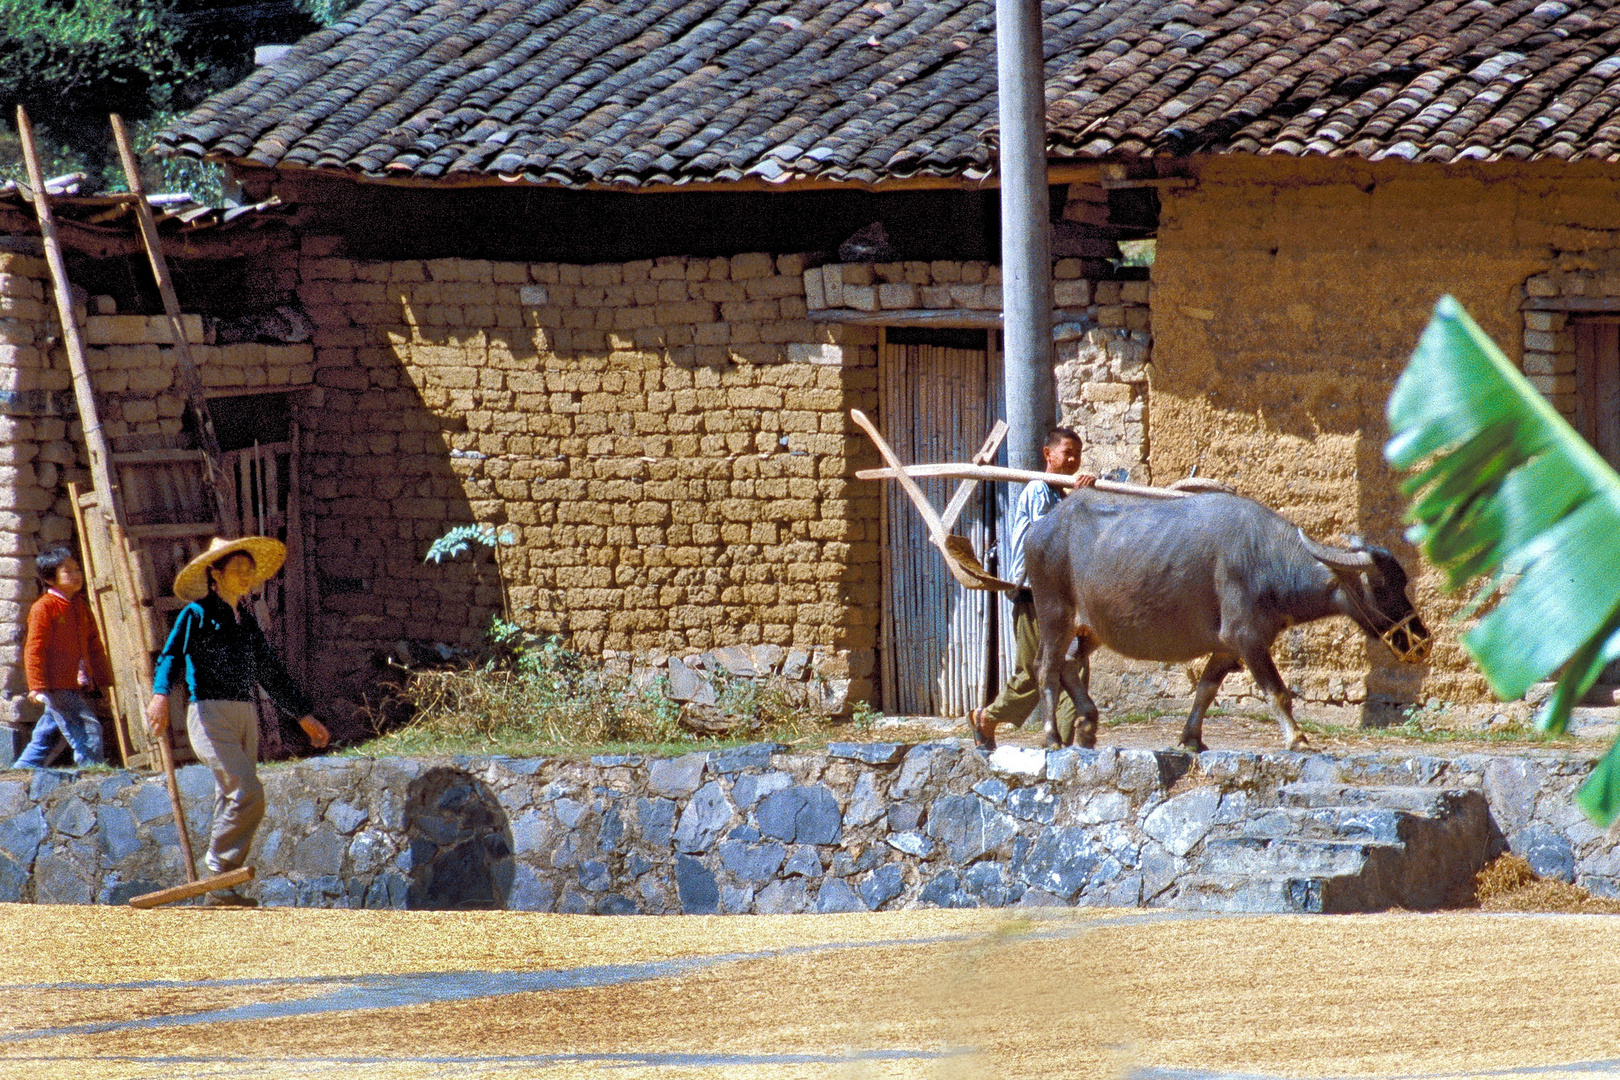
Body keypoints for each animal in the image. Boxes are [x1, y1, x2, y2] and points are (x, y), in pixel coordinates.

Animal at [1023, 488, 1432, 751]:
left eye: (1403, 582)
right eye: (1381, 587)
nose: (1422, 640)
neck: (1269, 562)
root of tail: (1040, 530)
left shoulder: (1227, 648)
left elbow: (1206, 689)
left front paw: (1191, 739)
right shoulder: (1248, 639)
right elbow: (1277, 692)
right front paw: (1297, 738)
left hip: (1091, 627)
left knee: (1069, 663)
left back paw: (1089, 724)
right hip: (1054, 612)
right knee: (1046, 667)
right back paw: (1052, 738)